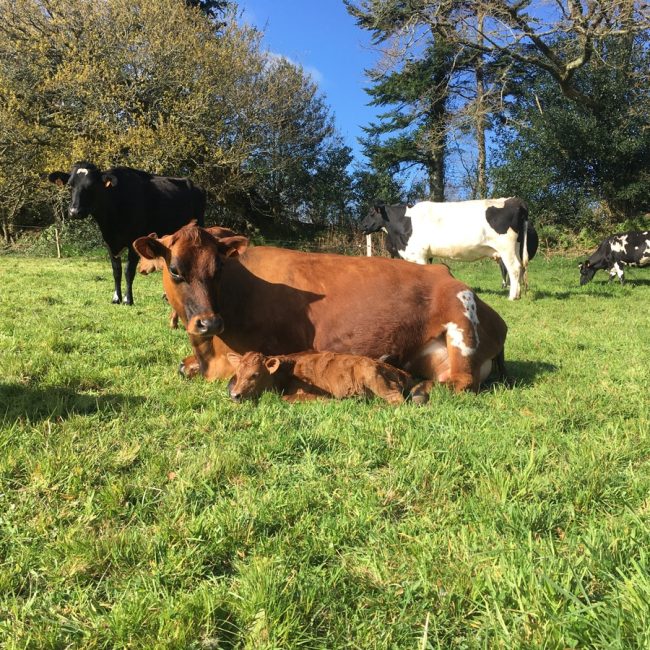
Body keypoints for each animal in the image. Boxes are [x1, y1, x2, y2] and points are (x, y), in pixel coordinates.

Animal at [48, 161, 206, 305]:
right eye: (70, 185)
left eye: (92, 185)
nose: (74, 212)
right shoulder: (109, 242)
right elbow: (116, 271)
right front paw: (116, 298)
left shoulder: (134, 241)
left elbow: (129, 271)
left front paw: (127, 299)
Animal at [133, 223, 509, 394]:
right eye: (175, 270)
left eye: (219, 269)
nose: (209, 323)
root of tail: (445, 272)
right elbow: (183, 367)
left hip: (461, 321)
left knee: (460, 381)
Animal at [359, 198, 530, 300]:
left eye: (371, 212)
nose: (363, 225)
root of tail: (515, 201)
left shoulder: (419, 255)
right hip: (516, 247)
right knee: (520, 268)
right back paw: (518, 293)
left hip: (506, 248)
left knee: (514, 268)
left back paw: (512, 297)